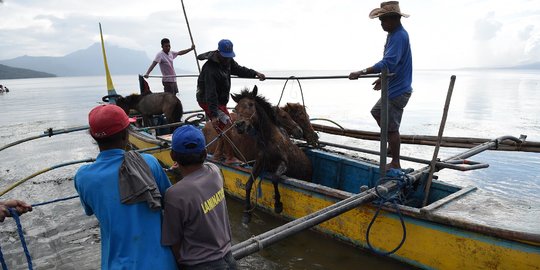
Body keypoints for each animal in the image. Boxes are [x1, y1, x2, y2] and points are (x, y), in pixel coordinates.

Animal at [231, 86, 312, 224]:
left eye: (251, 104)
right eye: (235, 108)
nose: (239, 125)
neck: (268, 140)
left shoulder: (283, 163)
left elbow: (274, 178)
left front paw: (278, 205)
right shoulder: (260, 162)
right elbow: (248, 184)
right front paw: (247, 213)